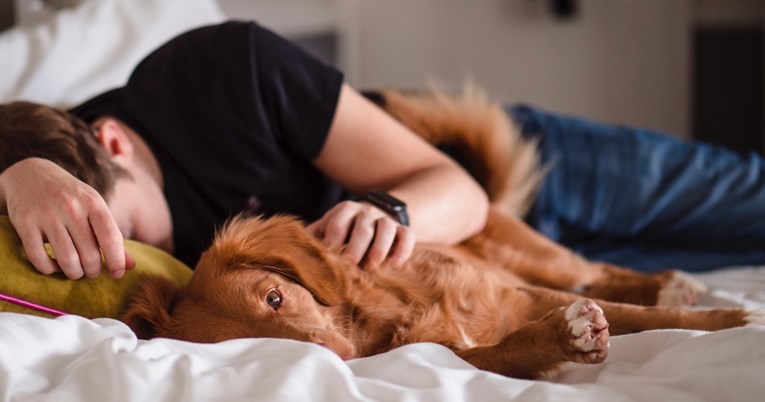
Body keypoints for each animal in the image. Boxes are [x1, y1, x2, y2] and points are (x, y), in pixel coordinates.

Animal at [121, 88, 764, 380]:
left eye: (276, 297)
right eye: (251, 346)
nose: (340, 358)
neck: (385, 313)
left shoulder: (518, 291)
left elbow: (652, 319)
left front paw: (735, 319)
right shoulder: (455, 352)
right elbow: (508, 349)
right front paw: (564, 338)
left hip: (541, 258)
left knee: (600, 270)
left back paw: (671, 283)